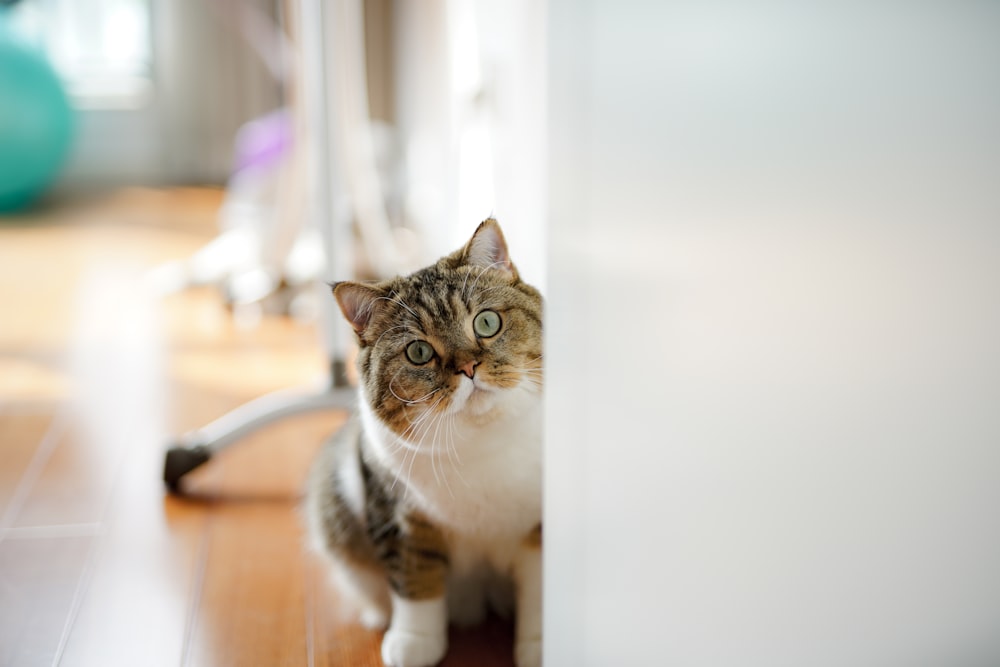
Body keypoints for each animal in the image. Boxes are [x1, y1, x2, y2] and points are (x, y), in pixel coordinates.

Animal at [308, 220, 544, 667]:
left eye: (487, 323)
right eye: (418, 352)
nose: (469, 367)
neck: (480, 443)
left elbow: (538, 590)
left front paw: (540, 646)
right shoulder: (399, 512)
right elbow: (415, 581)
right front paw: (413, 642)